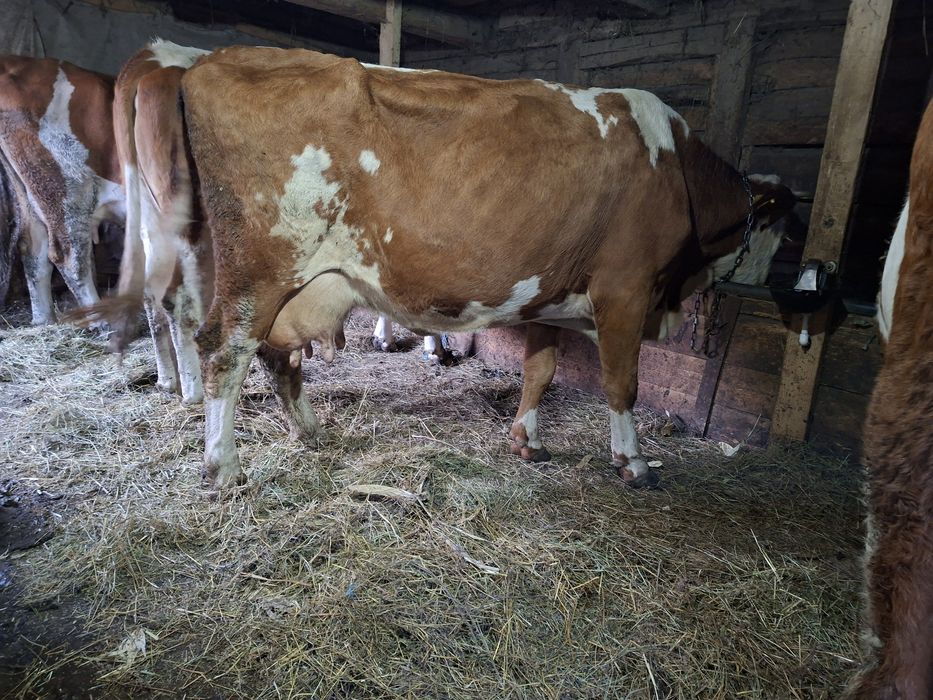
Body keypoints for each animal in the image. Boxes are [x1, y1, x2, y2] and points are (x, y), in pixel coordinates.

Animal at [0, 55, 124, 324]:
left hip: (29, 196)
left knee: (33, 249)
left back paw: (44, 320)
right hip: (65, 192)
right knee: (69, 257)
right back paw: (100, 321)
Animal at [86, 46, 794, 494]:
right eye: (781, 229)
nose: (770, 288)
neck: (675, 166)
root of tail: (204, 62)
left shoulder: (551, 288)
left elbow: (540, 371)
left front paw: (525, 440)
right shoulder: (625, 287)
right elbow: (623, 385)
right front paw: (634, 463)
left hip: (287, 281)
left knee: (273, 354)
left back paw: (309, 430)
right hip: (257, 268)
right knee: (221, 352)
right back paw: (223, 470)